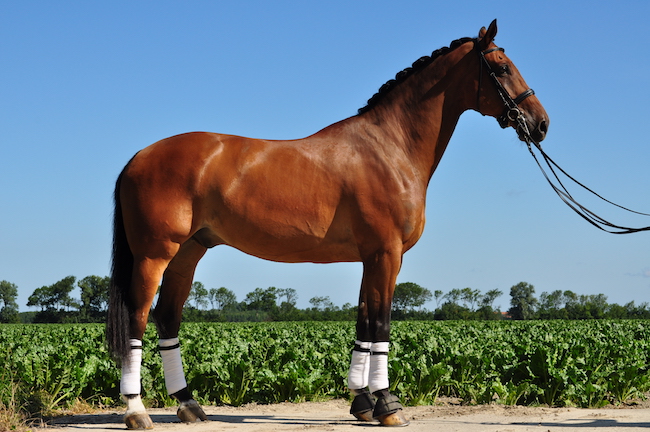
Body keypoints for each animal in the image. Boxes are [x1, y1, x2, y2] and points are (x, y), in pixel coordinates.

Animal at [106, 20, 548, 429]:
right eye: (502, 67)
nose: (541, 123)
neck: (389, 148)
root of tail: (138, 158)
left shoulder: (371, 257)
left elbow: (364, 322)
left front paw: (363, 403)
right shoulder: (387, 254)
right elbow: (381, 323)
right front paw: (388, 406)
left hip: (188, 252)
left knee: (167, 317)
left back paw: (189, 405)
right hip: (154, 255)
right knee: (139, 319)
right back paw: (137, 411)